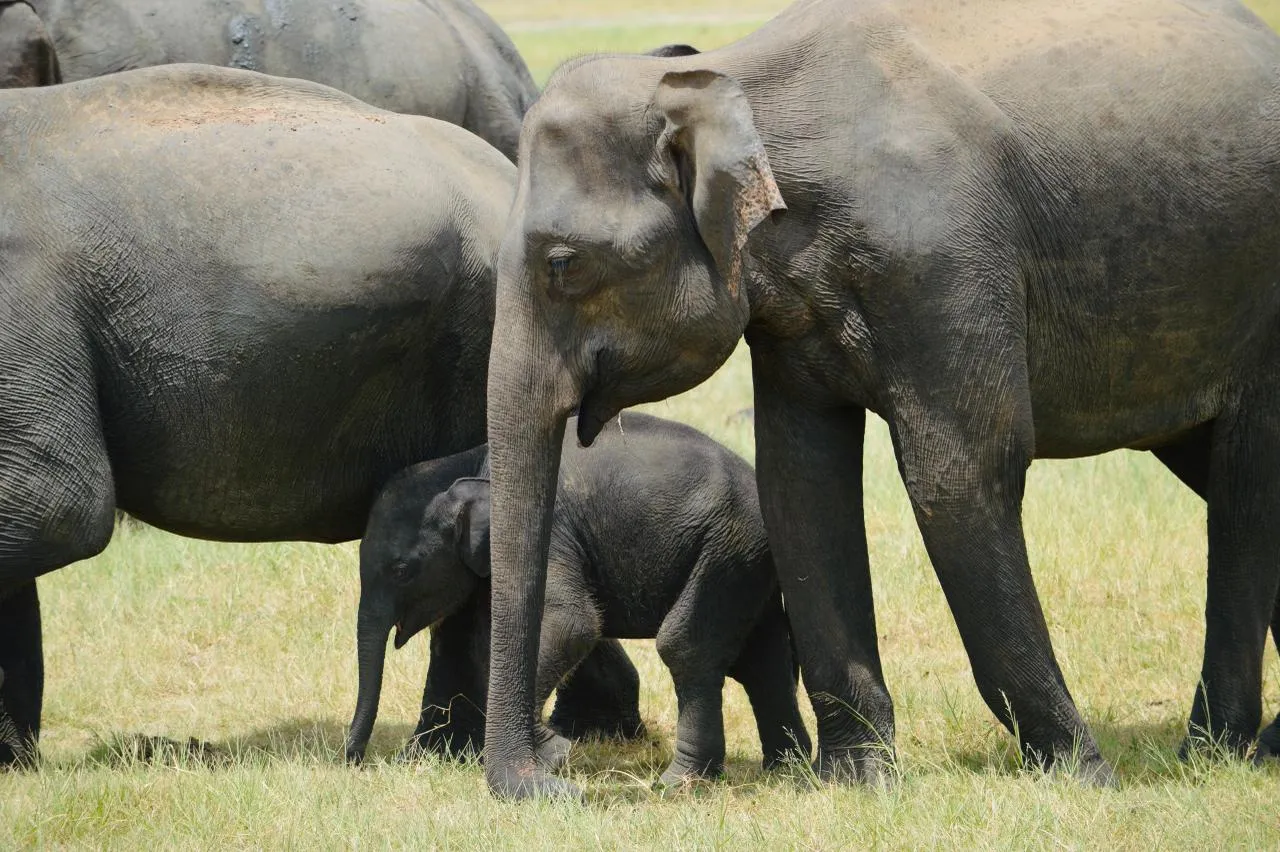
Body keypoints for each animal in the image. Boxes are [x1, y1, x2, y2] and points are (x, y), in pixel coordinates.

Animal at [0, 63, 640, 767]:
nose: (346, 760)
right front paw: (16, 763)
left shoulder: (23, 301)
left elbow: (56, 507)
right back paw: (593, 730)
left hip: (487, 339)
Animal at [345, 413, 811, 786]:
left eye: (401, 570)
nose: (354, 761)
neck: (473, 460)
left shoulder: (548, 530)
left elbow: (571, 624)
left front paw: (554, 752)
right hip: (746, 559)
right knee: (763, 661)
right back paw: (787, 772)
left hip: (726, 547)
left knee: (688, 648)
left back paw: (678, 784)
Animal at [478, 0, 1280, 799]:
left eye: (562, 264)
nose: (557, 774)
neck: (730, 75)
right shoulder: (792, 315)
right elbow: (800, 488)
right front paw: (857, 779)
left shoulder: (942, 264)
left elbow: (960, 477)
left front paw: (1080, 776)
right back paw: (1258, 745)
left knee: (1247, 482)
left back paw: (1214, 748)